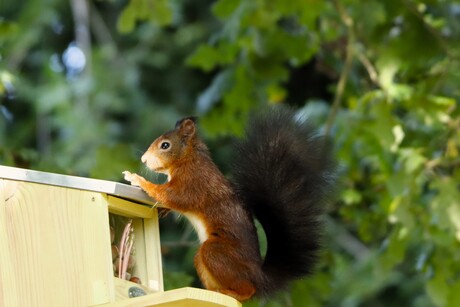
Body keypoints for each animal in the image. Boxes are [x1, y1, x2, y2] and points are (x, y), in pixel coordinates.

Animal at [124, 108, 336, 304]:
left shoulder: (193, 181)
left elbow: (172, 196)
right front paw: (162, 209)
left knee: (248, 289)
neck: (188, 159)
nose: (143, 160)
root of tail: (260, 277)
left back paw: (233, 293)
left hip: (216, 252)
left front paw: (138, 180)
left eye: (165, 145)